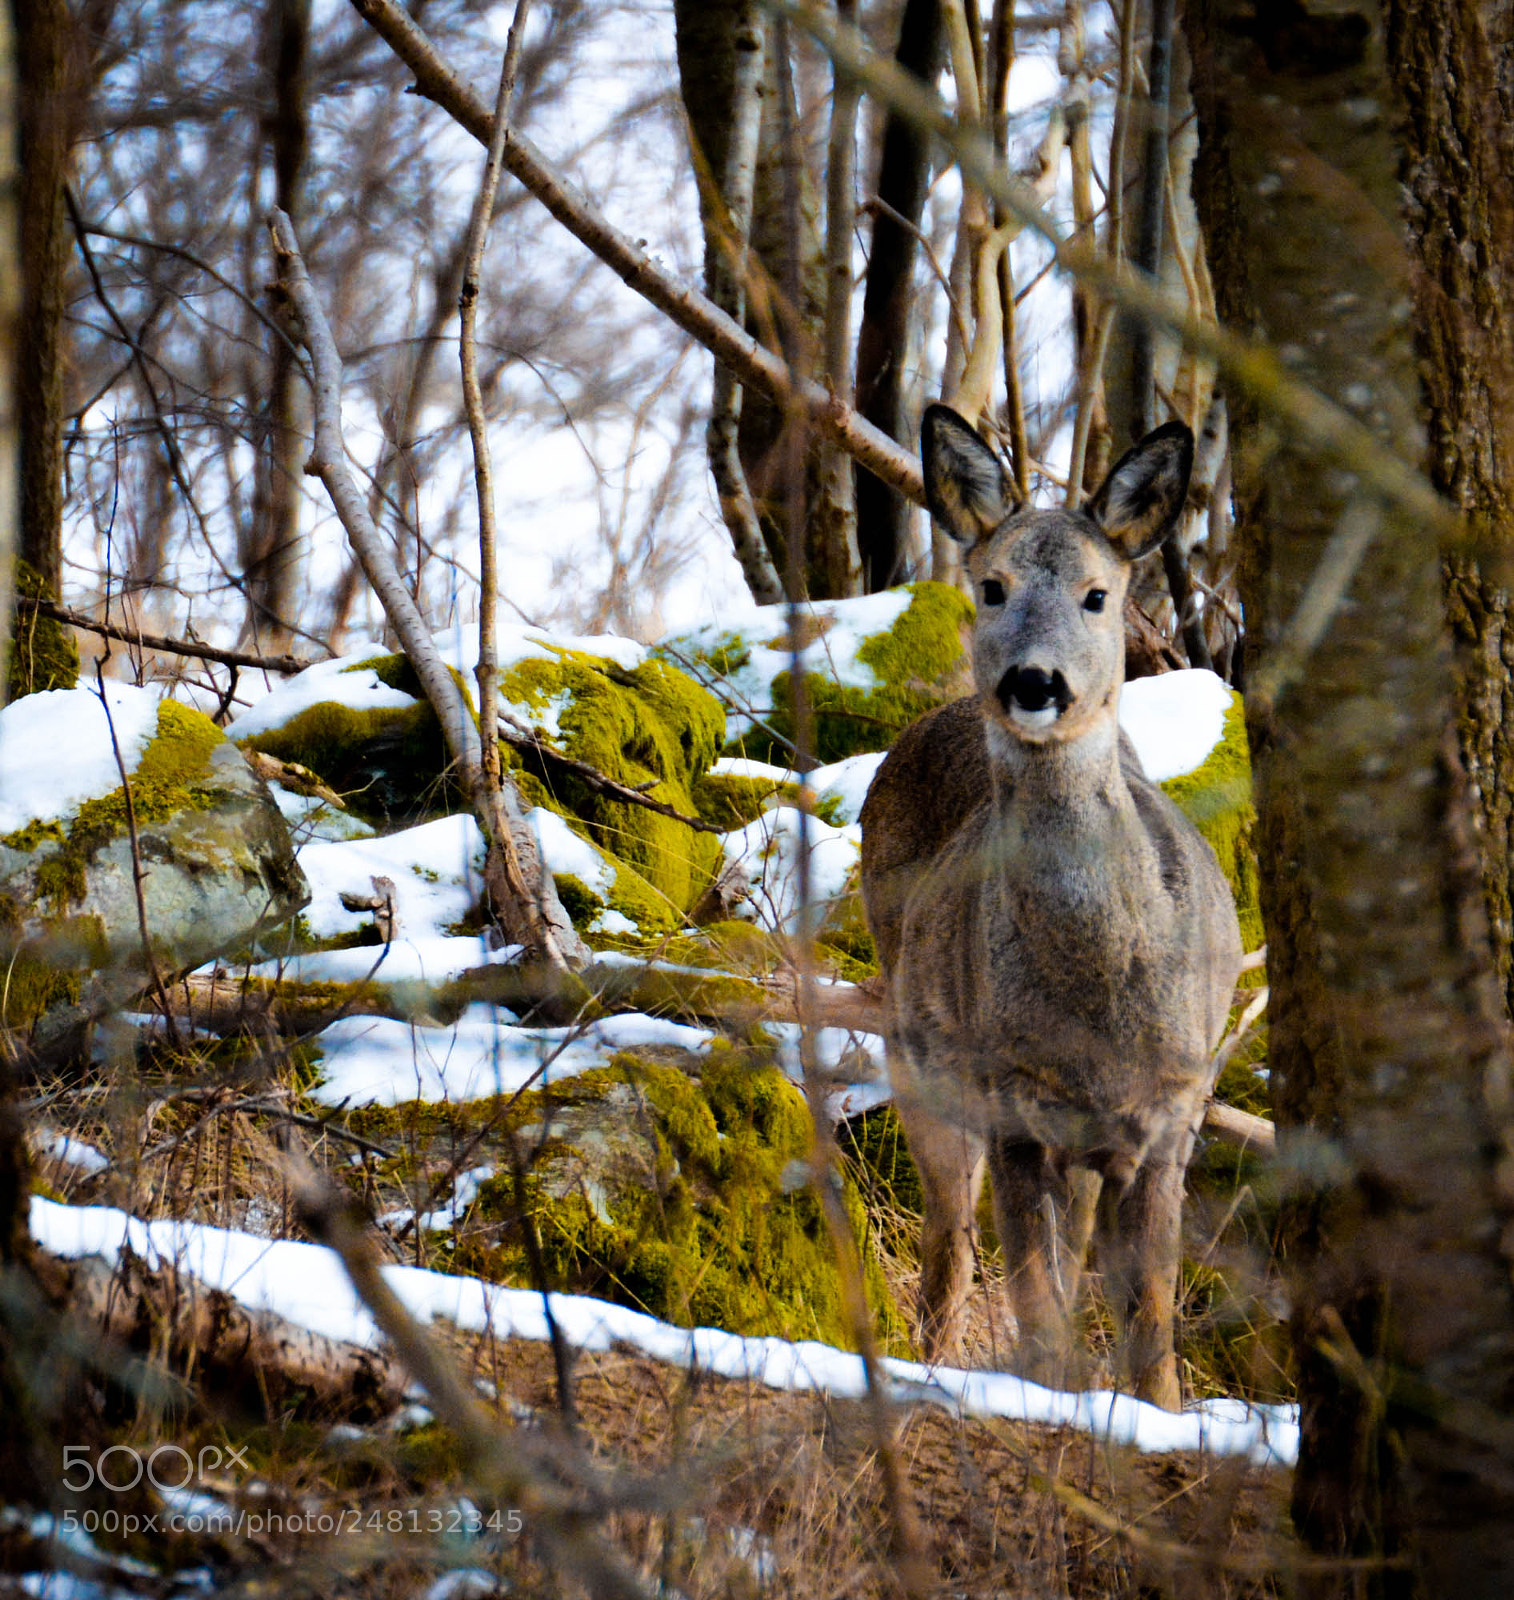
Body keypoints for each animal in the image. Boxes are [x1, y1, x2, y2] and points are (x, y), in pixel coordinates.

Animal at [859, 405, 1243, 1409]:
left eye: (1097, 595)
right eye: (992, 587)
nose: (1034, 684)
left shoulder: (1171, 1115)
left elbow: (1149, 1322)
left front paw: (1159, 1419)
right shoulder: (1012, 1107)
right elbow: (1037, 1307)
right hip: (916, 1058)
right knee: (949, 1243)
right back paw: (929, 1361)